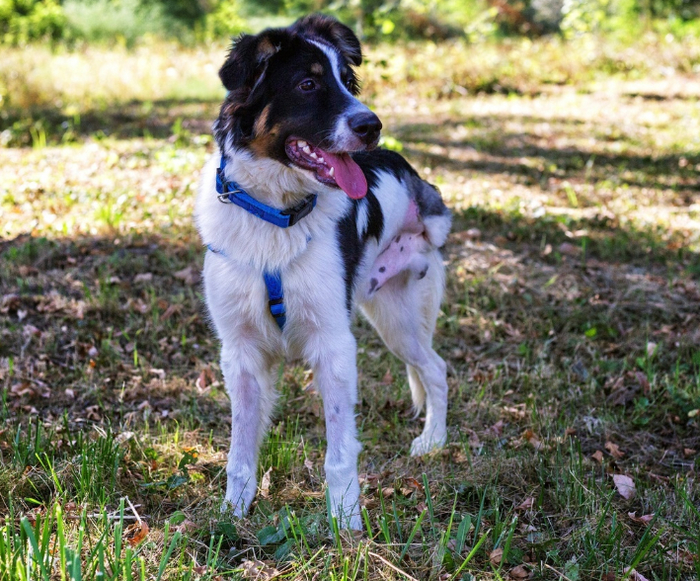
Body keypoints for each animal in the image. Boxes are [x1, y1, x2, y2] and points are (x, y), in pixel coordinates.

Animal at [195, 14, 451, 530]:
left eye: (348, 82)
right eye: (308, 84)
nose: (372, 125)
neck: (276, 217)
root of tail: (412, 175)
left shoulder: (333, 346)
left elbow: (339, 453)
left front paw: (347, 524)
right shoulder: (241, 353)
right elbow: (239, 453)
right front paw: (234, 514)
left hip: (400, 319)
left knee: (436, 369)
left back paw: (433, 441)